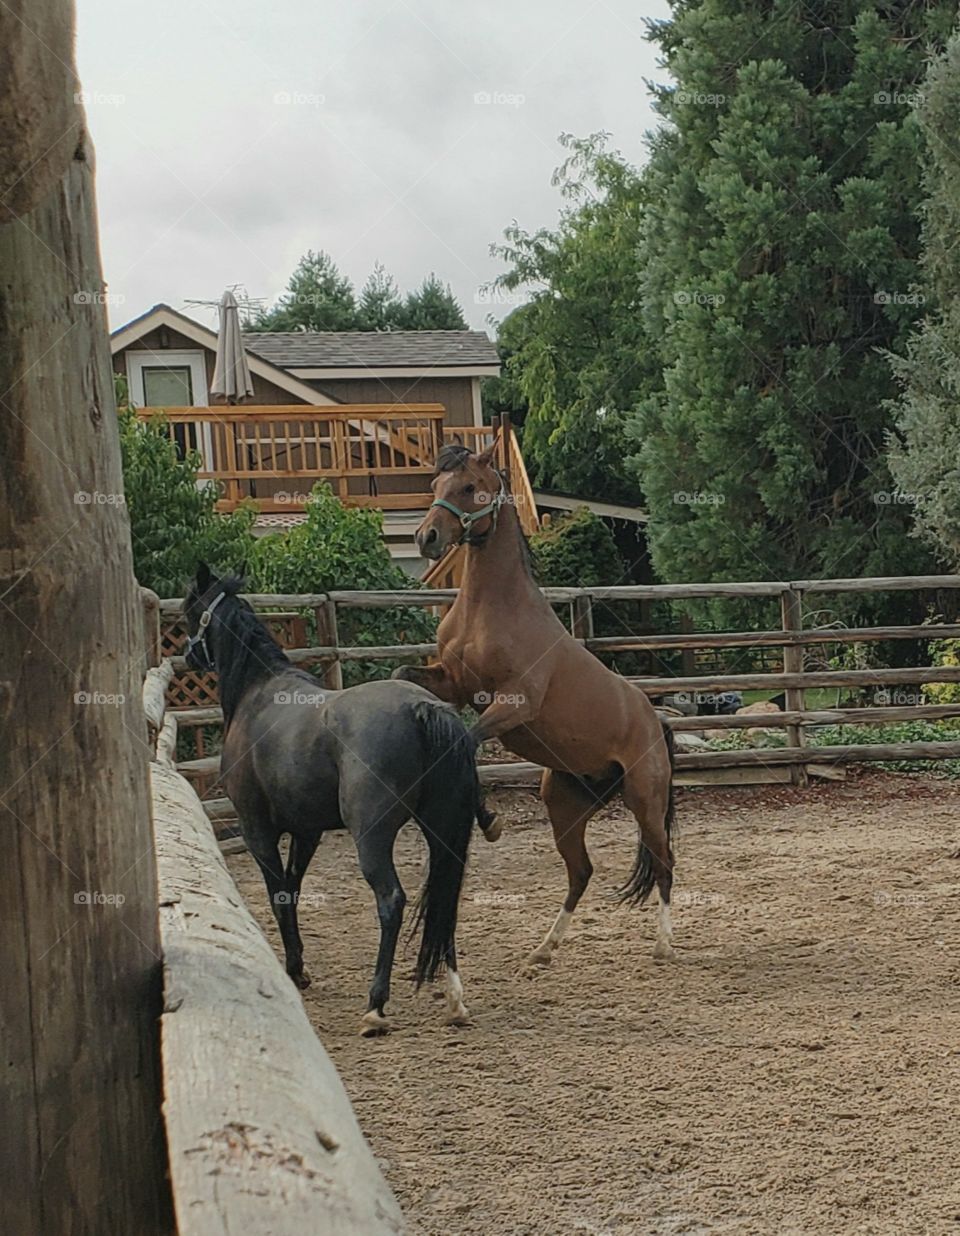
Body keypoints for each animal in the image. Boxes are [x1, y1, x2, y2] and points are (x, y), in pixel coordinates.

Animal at [183, 563, 482, 1036]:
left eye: (189, 610)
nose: (188, 657)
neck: (257, 694)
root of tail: (423, 708)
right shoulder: (308, 832)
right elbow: (293, 889)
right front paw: (299, 967)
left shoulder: (257, 830)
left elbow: (278, 894)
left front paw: (294, 971)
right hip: (442, 832)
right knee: (444, 900)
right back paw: (454, 1000)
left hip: (371, 837)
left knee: (391, 901)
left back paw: (376, 1005)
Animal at [395, 442, 677, 969]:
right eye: (435, 485)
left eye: (469, 486)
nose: (427, 537)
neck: (492, 610)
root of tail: (655, 720)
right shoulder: (453, 685)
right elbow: (408, 679)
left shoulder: (512, 705)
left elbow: (467, 742)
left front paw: (490, 821)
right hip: (564, 806)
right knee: (581, 873)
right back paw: (544, 949)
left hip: (645, 802)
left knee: (664, 863)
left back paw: (664, 945)